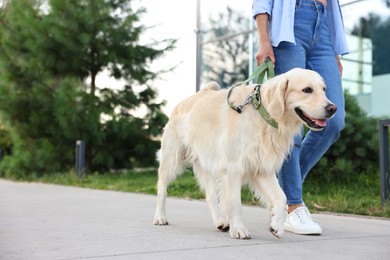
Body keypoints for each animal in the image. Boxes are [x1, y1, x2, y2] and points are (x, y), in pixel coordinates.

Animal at [154, 68, 336, 239]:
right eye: (307, 90)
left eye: (324, 89)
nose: (332, 109)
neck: (263, 114)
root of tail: (195, 95)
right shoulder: (234, 168)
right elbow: (235, 203)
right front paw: (239, 230)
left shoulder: (262, 167)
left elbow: (281, 197)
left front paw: (276, 225)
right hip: (171, 159)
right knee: (162, 188)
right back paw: (160, 217)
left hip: (208, 164)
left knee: (211, 196)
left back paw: (220, 221)